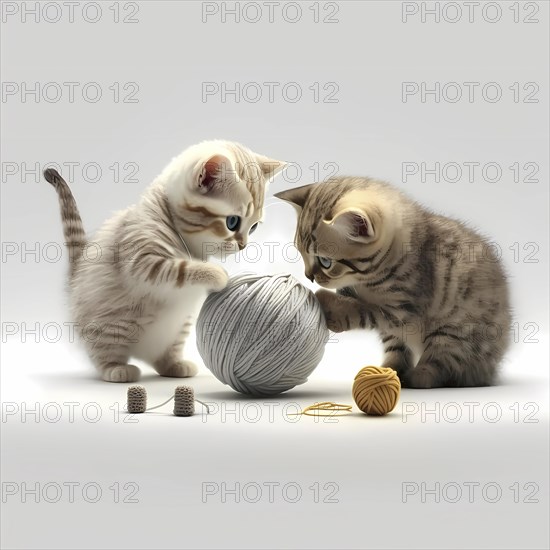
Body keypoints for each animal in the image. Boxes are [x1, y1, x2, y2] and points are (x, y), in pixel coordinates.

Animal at [45, 140, 286, 384]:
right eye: (233, 222)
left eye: (253, 227)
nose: (243, 245)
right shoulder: (143, 260)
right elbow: (181, 268)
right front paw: (217, 274)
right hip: (113, 325)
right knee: (102, 352)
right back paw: (117, 369)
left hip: (178, 327)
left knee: (163, 357)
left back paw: (174, 365)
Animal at [276, 179, 512, 390]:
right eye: (301, 254)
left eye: (326, 262)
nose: (308, 276)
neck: (369, 281)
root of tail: (489, 371)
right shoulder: (391, 324)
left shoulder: (405, 312)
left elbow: (365, 311)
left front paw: (332, 306)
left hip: (453, 332)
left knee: (440, 364)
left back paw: (419, 376)